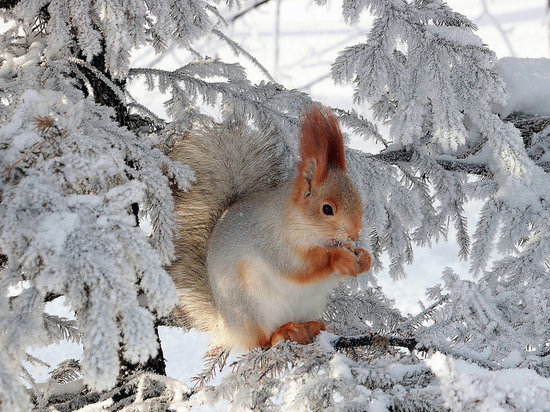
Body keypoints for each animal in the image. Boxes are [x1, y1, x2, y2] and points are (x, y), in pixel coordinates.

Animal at [170, 104, 374, 350]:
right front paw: (338, 257)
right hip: (253, 307)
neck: (297, 222)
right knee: (262, 341)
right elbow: (299, 267)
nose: (355, 233)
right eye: (327, 209)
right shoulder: (271, 241)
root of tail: (227, 326)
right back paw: (285, 332)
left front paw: (364, 258)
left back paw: (313, 326)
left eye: (358, 199)